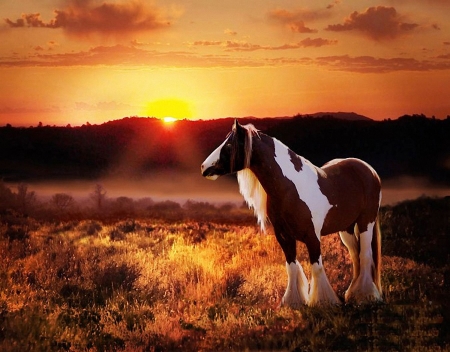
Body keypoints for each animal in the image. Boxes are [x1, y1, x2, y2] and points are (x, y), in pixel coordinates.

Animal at [202, 120, 382, 306]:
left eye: (229, 145)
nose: (204, 167)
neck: (290, 188)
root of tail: (369, 169)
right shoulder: (284, 236)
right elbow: (292, 267)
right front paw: (293, 301)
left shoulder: (312, 236)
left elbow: (317, 267)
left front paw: (322, 301)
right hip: (346, 228)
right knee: (355, 256)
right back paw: (353, 294)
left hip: (365, 223)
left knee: (365, 254)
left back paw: (366, 295)